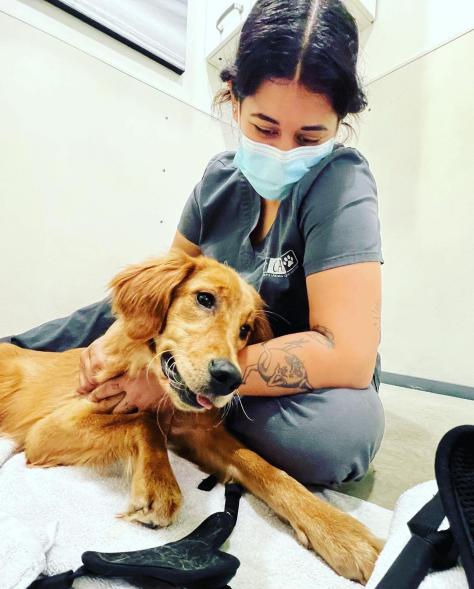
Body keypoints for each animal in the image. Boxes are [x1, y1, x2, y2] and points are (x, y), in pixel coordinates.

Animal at [0, 249, 382, 584]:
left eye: (245, 329)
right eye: (205, 299)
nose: (229, 378)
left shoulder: (203, 434)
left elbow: (266, 468)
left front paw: (342, 533)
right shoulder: (48, 430)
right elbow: (144, 423)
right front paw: (160, 484)